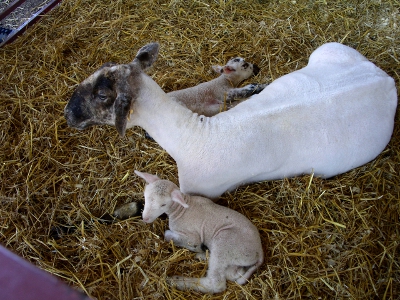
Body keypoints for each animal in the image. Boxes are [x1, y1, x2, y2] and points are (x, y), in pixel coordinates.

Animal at [136, 170, 264, 294]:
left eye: (163, 204)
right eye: (145, 196)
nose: (145, 218)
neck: (180, 209)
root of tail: (260, 253)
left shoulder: (193, 237)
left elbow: (168, 234)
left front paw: (196, 248)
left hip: (225, 241)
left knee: (216, 283)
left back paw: (177, 281)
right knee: (232, 272)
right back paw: (204, 256)